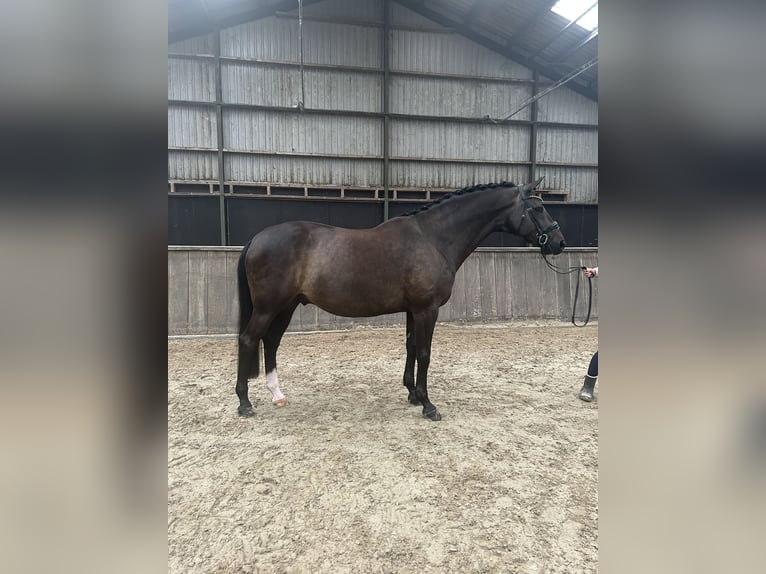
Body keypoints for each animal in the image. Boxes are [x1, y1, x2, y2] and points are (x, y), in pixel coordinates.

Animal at [235, 178, 566, 421]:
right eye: (538, 208)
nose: (559, 243)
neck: (433, 238)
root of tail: (256, 239)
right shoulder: (426, 310)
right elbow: (425, 354)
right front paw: (428, 405)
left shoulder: (412, 310)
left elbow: (411, 347)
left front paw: (412, 394)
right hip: (268, 307)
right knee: (250, 340)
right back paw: (244, 402)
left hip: (287, 306)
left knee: (271, 341)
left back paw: (277, 395)